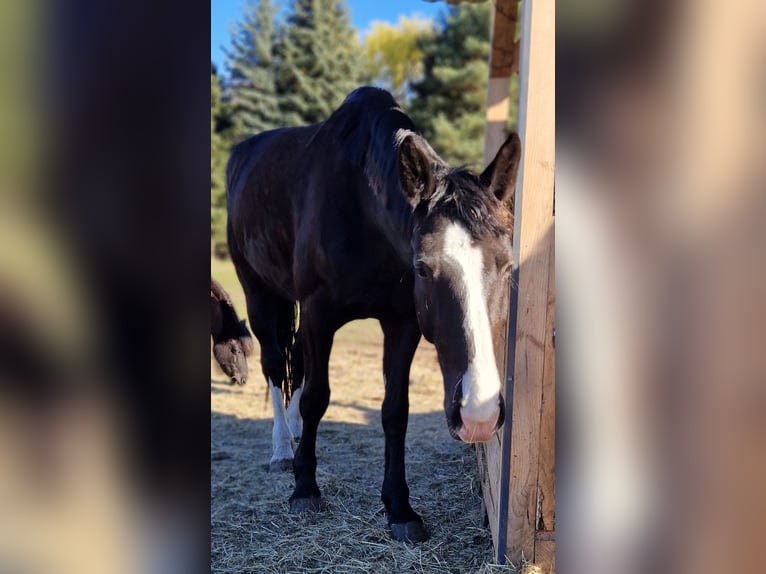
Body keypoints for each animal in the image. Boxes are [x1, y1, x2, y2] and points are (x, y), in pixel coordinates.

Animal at [226, 87, 520, 542]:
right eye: (423, 268)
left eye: (507, 265)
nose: (479, 414)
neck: (360, 205)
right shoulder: (319, 315)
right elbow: (316, 397)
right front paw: (305, 488)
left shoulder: (402, 324)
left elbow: (395, 411)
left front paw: (400, 508)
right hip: (257, 290)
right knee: (275, 366)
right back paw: (281, 450)